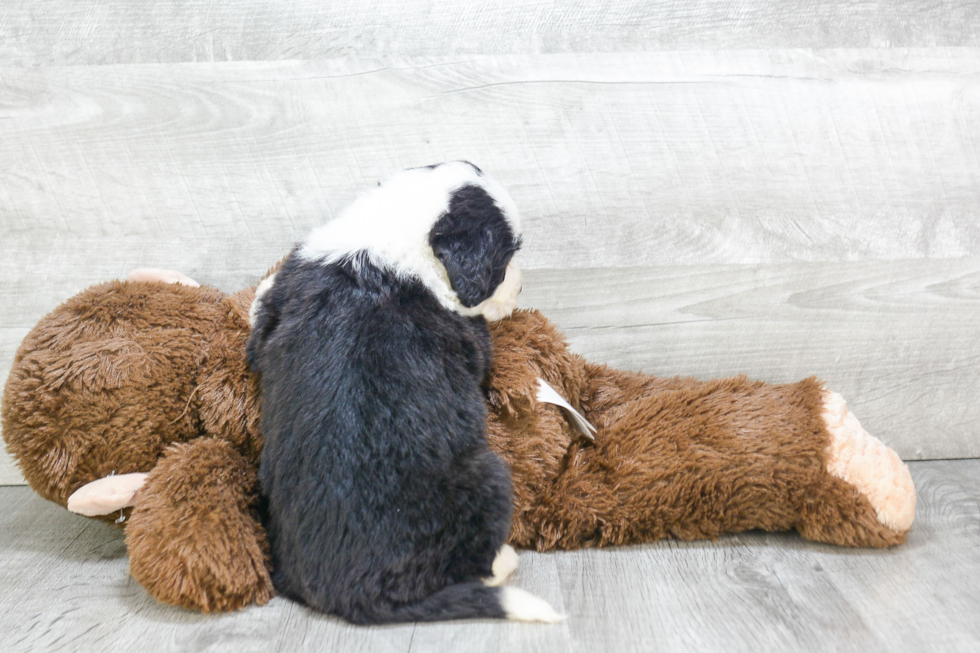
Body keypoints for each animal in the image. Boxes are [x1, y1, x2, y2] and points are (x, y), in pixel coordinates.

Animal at [249, 160, 564, 624]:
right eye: (505, 259)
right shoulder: (472, 338)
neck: (390, 240)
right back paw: (503, 561)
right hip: (489, 479)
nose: (521, 289)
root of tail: (352, 593)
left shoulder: (287, 286)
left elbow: (260, 307)